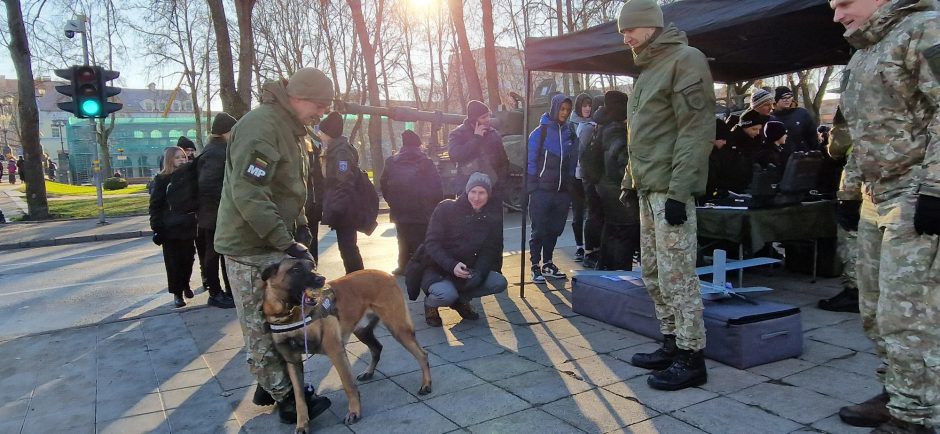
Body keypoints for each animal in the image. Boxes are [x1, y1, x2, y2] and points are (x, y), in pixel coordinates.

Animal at [258, 260, 432, 432]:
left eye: (312, 266)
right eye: (296, 270)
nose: (321, 279)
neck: (289, 315)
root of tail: (385, 274)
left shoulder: (336, 351)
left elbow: (348, 384)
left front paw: (354, 412)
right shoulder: (292, 362)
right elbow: (299, 397)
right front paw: (302, 424)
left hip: (397, 328)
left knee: (422, 354)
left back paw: (426, 384)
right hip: (363, 332)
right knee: (377, 348)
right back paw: (369, 372)